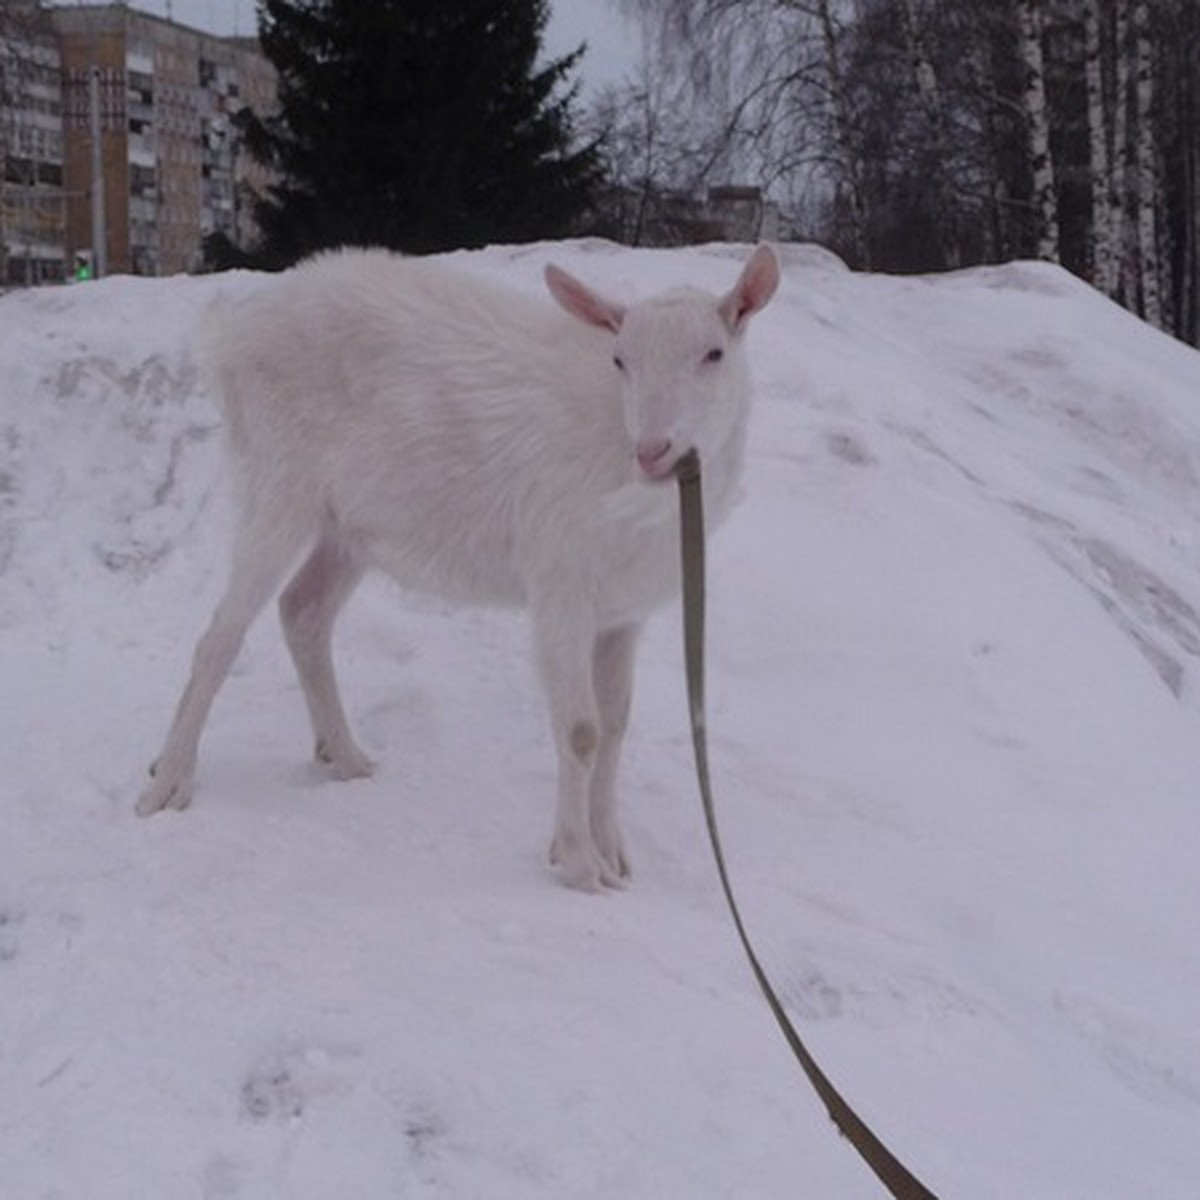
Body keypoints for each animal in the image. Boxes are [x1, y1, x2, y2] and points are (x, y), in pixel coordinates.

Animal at [138, 246, 777, 892]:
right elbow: (582, 730)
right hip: (281, 479)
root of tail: (233, 337)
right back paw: (169, 781)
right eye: (620, 358)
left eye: (714, 354)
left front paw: (612, 852)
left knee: (304, 611)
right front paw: (579, 866)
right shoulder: (560, 582)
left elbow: (616, 723)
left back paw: (346, 757)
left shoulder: (623, 610)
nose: (652, 449)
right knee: (221, 636)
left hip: (349, 524)